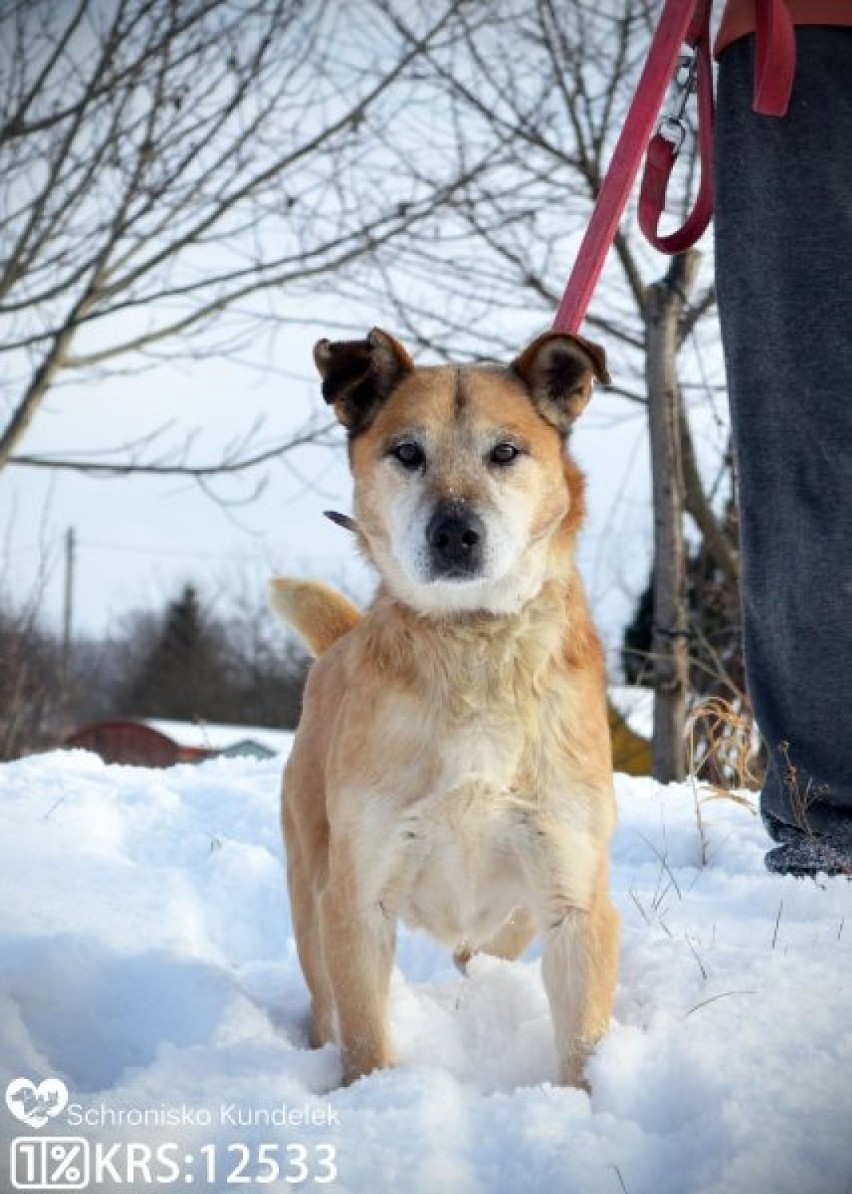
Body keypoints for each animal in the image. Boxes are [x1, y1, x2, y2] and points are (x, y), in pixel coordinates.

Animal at [275, 329, 615, 1093]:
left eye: (505, 452)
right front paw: (373, 1099)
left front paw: (587, 1103)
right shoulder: (359, 897)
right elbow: (364, 1033)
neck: (474, 646)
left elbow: (582, 1040)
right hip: (311, 889)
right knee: (323, 1000)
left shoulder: (573, 891)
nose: (455, 533)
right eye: (407, 452)